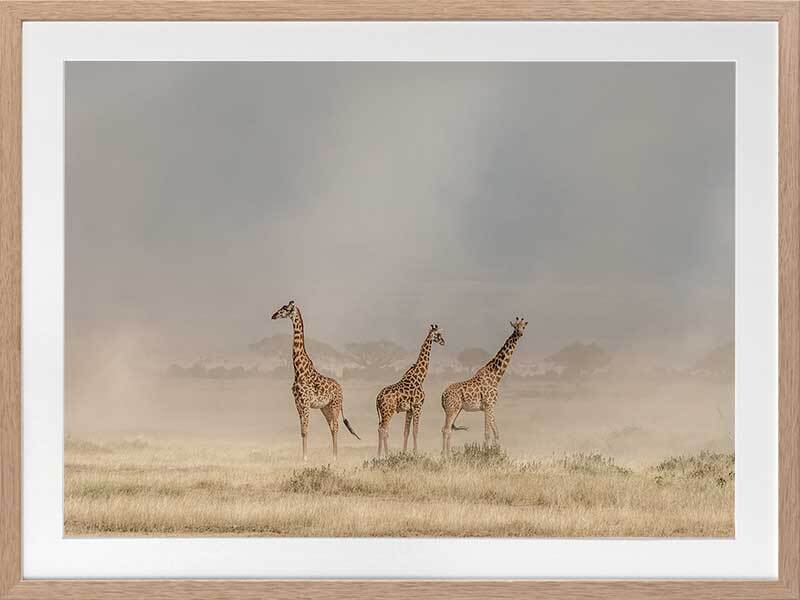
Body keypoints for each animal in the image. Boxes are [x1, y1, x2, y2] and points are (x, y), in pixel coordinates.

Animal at [270, 300, 360, 461]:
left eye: (285, 309)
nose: (273, 315)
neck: (299, 370)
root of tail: (341, 389)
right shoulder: (298, 404)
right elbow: (302, 431)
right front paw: (303, 458)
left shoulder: (305, 403)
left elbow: (306, 430)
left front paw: (305, 458)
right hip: (325, 408)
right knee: (331, 427)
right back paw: (332, 456)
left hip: (335, 405)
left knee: (336, 427)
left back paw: (335, 457)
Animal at [375, 324, 445, 457]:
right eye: (438, 334)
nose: (443, 342)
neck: (420, 378)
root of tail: (377, 398)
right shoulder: (418, 406)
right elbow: (415, 430)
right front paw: (415, 453)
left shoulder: (409, 409)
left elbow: (406, 431)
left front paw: (404, 453)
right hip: (388, 411)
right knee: (383, 429)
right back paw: (384, 455)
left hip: (383, 412)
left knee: (381, 429)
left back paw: (380, 455)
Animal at [440, 317, 528, 455]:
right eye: (515, 327)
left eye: (523, 326)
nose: (520, 333)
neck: (496, 376)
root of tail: (443, 395)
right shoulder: (488, 405)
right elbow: (487, 433)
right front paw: (486, 454)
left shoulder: (491, 406)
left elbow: (496, 432)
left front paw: (496, 453)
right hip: (451, 409)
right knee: (446, 429)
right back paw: (445, 456)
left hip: (456, 410)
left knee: (447, 430)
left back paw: (447, 454)